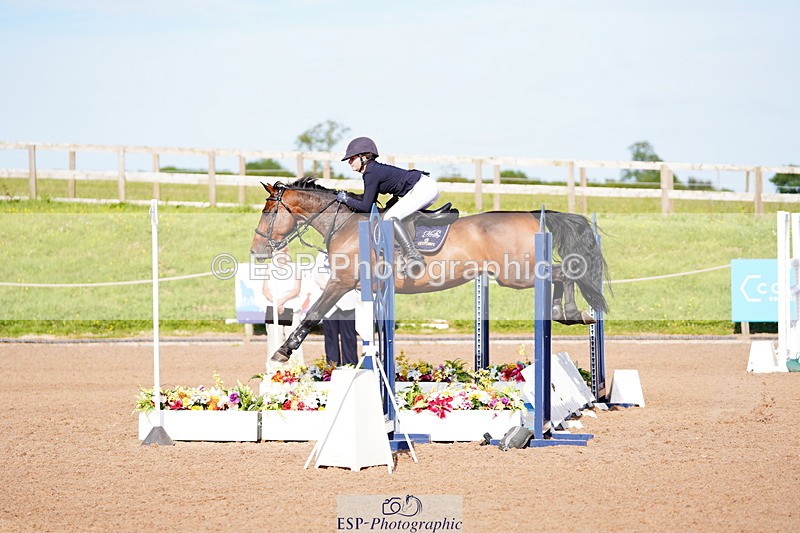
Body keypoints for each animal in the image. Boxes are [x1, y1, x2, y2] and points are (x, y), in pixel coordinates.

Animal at [251, 177, 609, 363]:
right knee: (562, 274)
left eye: (268, 212)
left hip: (517, 274)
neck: (345, 225)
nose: (256, 252)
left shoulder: (341, 283)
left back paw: (572, 313)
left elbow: (313, 315)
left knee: (566, 272)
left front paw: (282, 352)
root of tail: (534, 214)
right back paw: (567, 313)